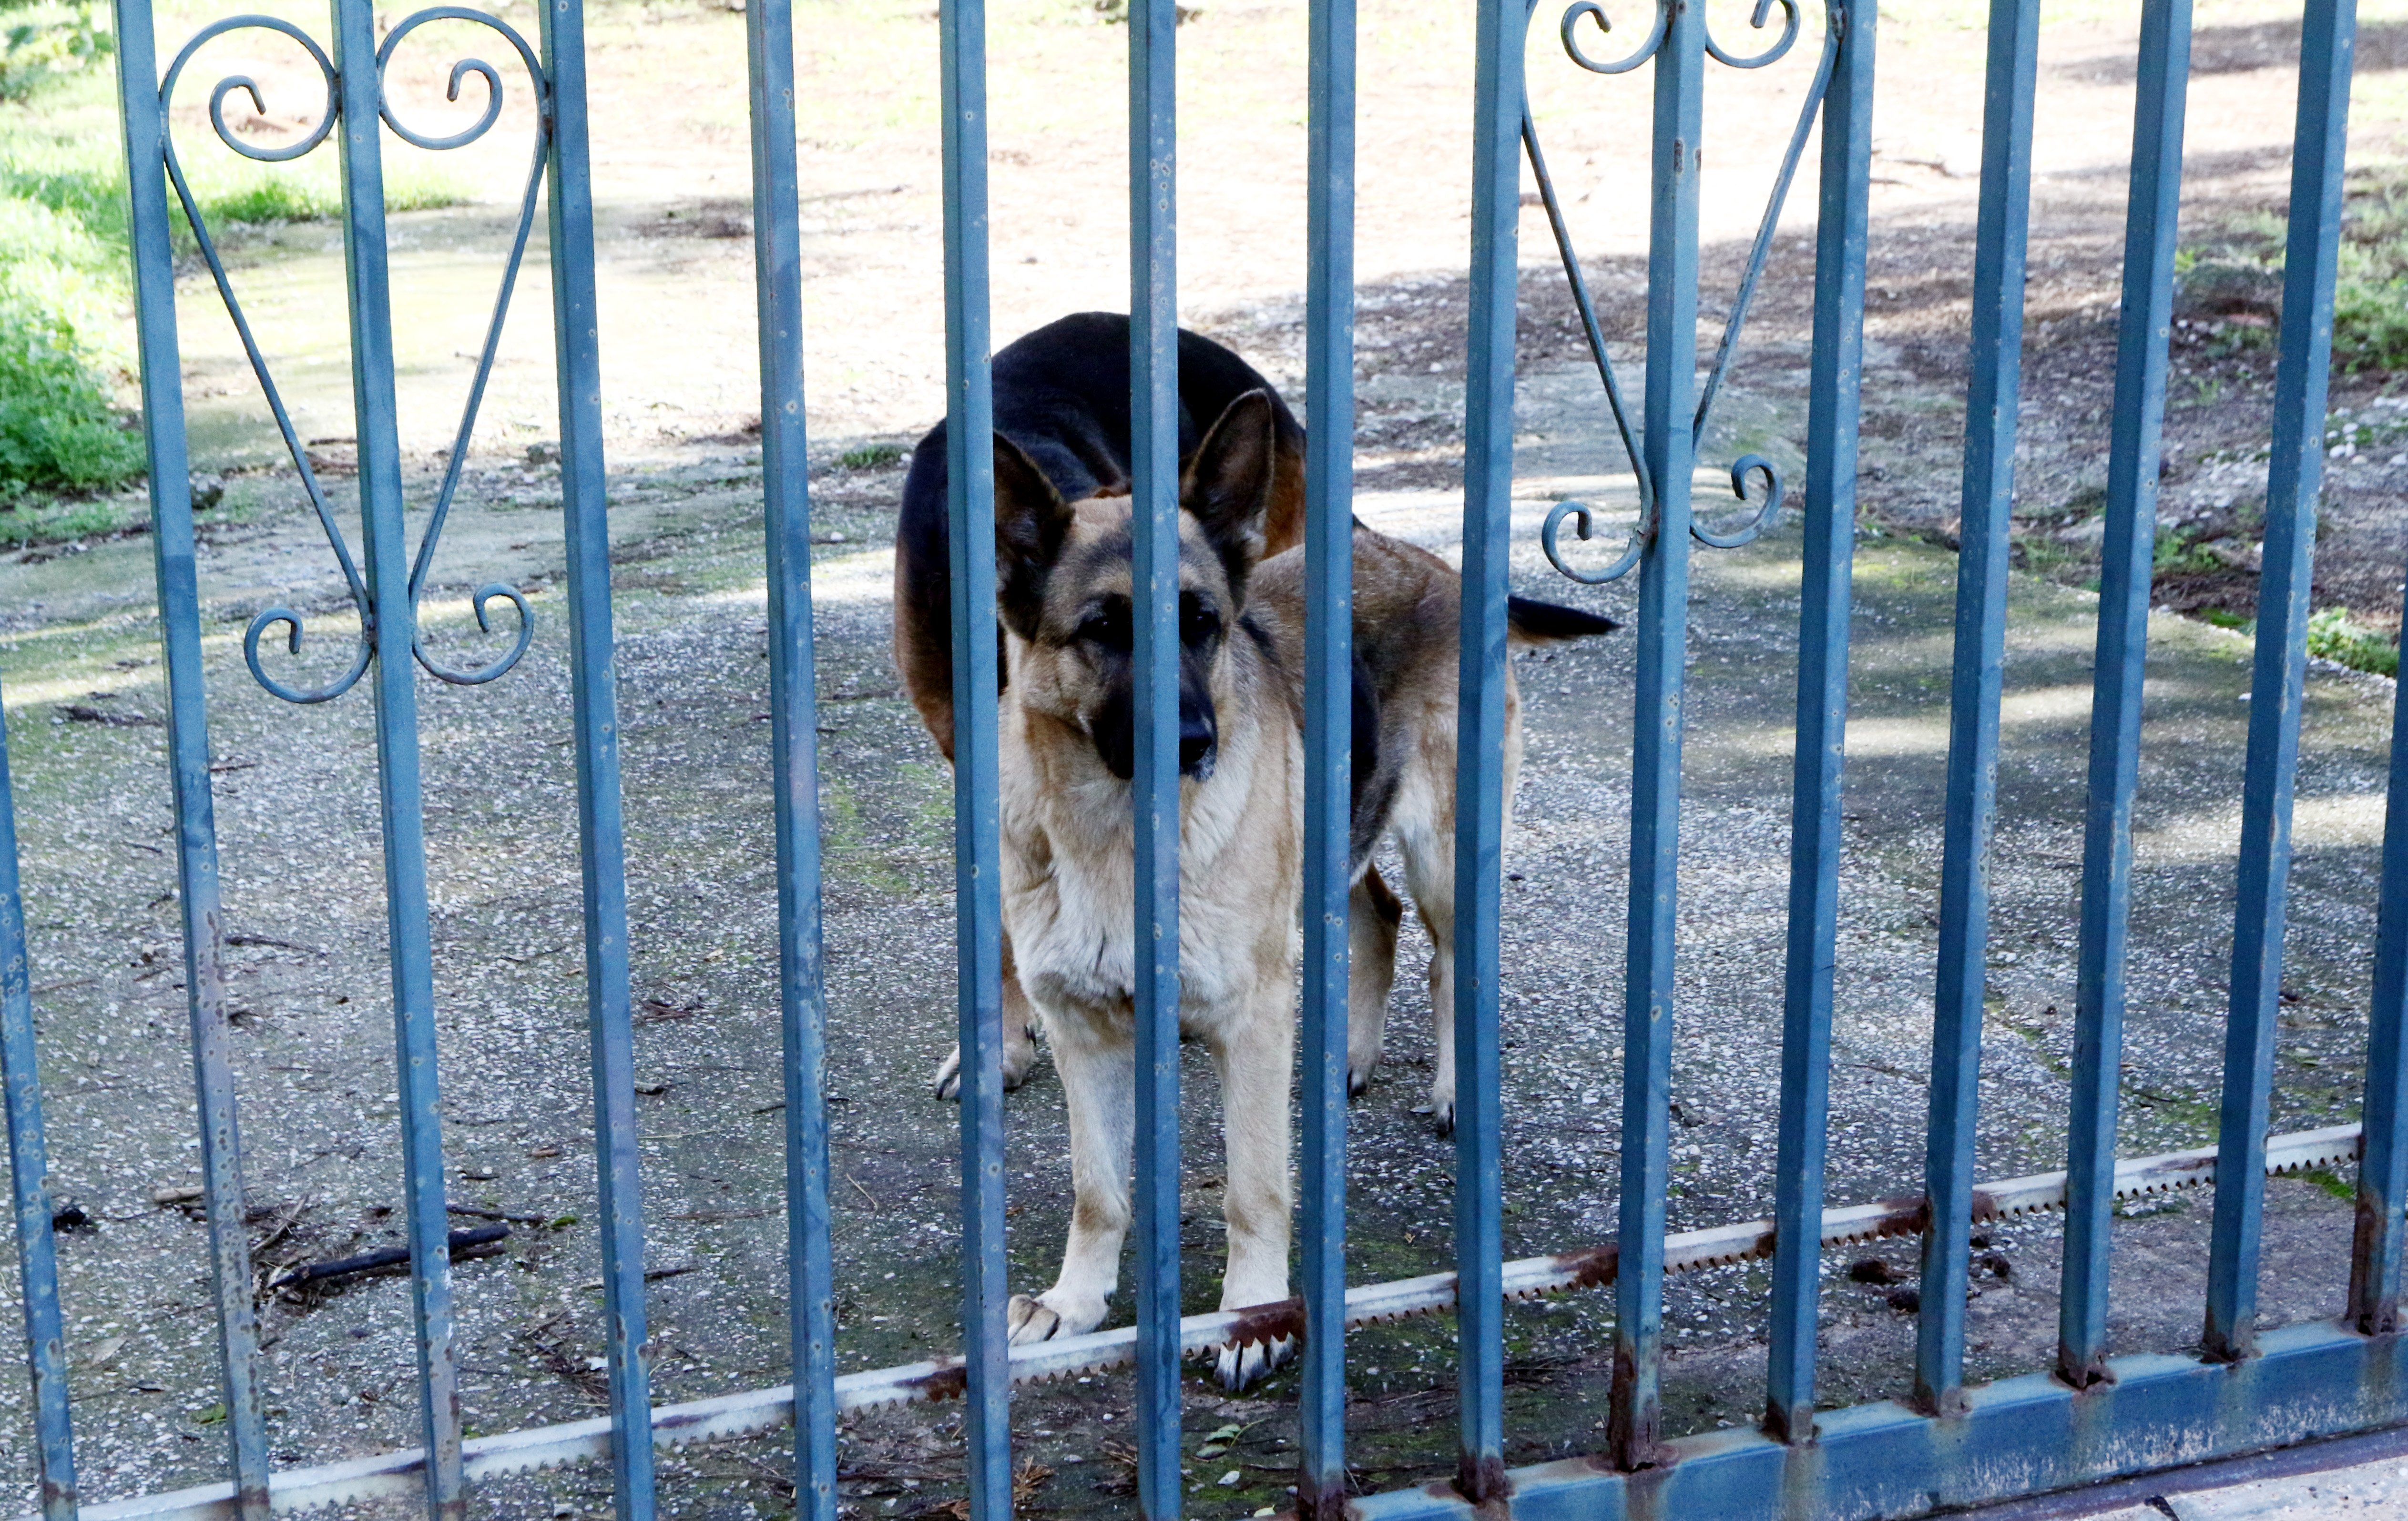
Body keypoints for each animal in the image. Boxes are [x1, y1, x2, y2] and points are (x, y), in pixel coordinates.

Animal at [891, 315, 1618, 1386]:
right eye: (1101, 630)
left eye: (1202, 625)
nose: (1197, 744)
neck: (1115, 836)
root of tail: (1424, 559)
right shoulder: (1086, 1035)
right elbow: (1099, 1190)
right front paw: (1075, 1303)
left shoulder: (1244, 1019)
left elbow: (1252, 1188)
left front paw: (1253, 1315)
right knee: (1376, 917)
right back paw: (1346, 1058)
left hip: (1448, 857)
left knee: (1450, 958)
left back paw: (1453, 1091)